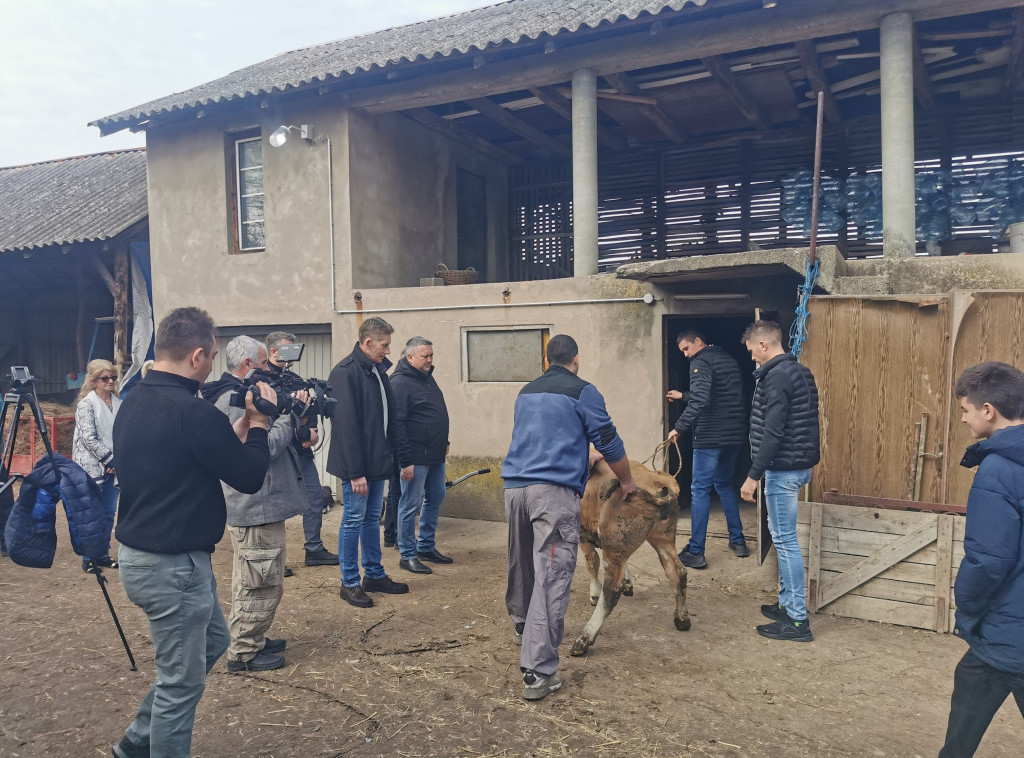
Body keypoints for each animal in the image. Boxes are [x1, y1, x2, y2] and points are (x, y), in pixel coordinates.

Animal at [573, 456, 692, 655]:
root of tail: (654, 479)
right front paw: (629, 583)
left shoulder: (582, 531)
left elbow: (592, 560)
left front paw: (594, 594)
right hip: (662, 538)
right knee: (678, 573)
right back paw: (682, 619)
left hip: (615, 541)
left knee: (612, 588)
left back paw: (584, 638)